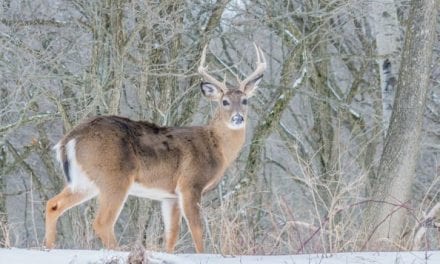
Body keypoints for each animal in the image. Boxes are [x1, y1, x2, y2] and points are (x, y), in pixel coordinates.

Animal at [45, 44, 264, 253]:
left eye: (245, 101)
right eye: (224, 102)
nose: (238, 118)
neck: (215, 146)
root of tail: (69, 139)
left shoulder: (170, 196)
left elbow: (171, 235)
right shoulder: (190, 184)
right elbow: (197, 230)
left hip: (85, 181)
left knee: (53, 204)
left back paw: (48, 248)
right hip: (114, 177)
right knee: (102, 222)